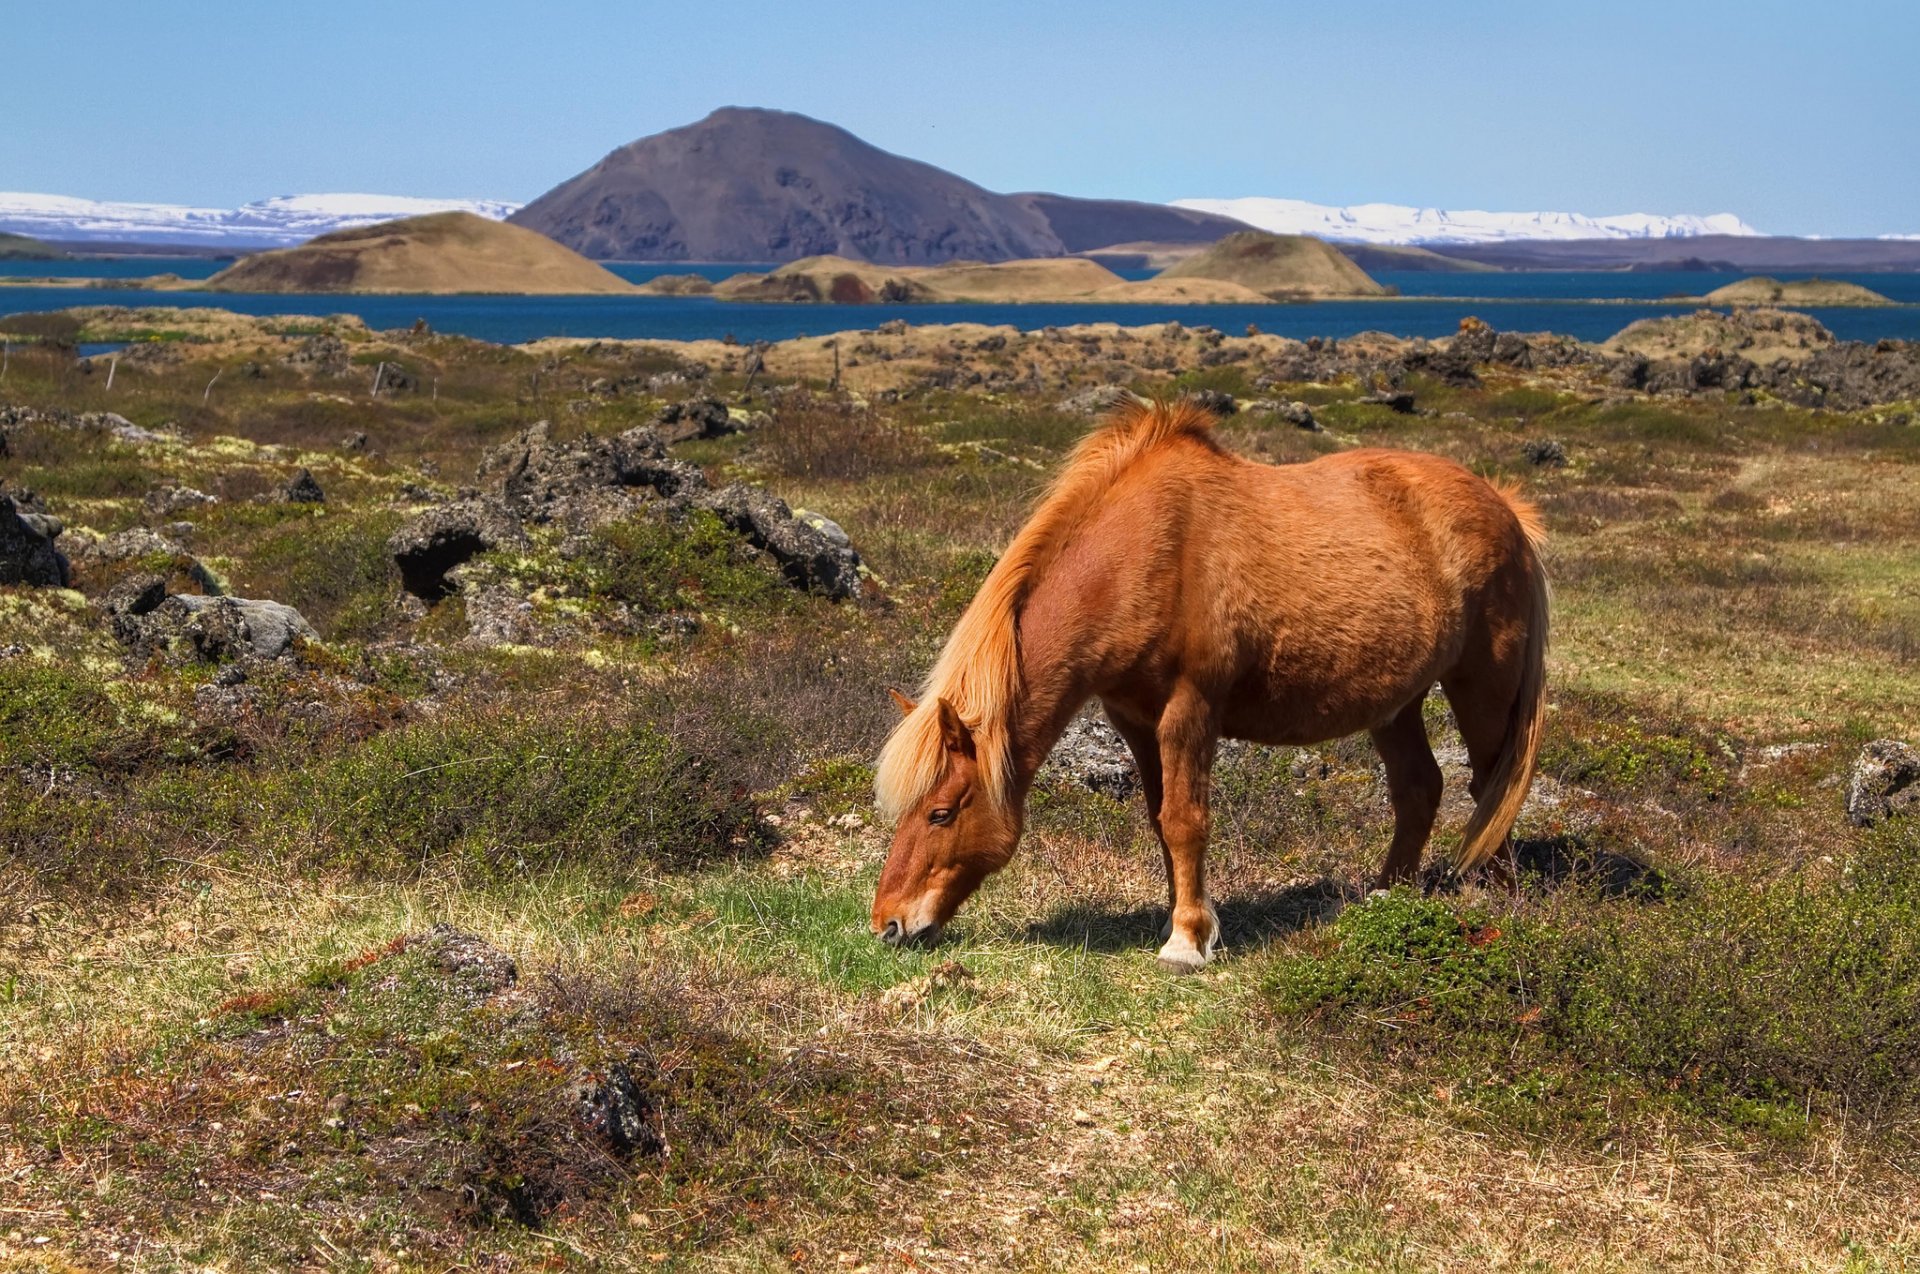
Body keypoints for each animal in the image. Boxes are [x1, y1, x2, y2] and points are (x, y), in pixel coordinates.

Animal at [871, 397, 1549, 971]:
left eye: (940, 812)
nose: (887, 925)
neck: (1146, 552)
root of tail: (1506, 509)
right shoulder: (1135, 720)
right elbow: (1159, 820)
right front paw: (1184, 920)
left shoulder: (1189, 710)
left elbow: (1185, 820)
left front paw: (1186, 941)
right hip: (1396, 703)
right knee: (1419, 788)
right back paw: (1390, 896)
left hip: (1482, 686)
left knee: (1491, 782)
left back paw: (1499, 897)